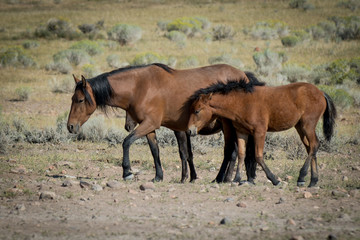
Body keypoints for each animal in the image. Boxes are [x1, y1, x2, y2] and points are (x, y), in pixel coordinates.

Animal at [67, 62, 256, 183]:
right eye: (72, 99)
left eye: (80, 100)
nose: (70, 126)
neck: (140, 87)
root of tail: (243, 76)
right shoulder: (149, 127)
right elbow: (155, 150)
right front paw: (158, 176)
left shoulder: (150, 124)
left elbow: (126, 142)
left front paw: (127, 172)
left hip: (228, 125)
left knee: (230, 151)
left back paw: (222, 179)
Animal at [188, 76, 338, 187]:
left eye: (197, 110)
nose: (190, 131)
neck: (242, 102)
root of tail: (320, 92)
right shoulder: (241, 132)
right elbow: (241, 154)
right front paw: (237, 179)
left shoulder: (259, 132)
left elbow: (258, 156)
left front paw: (274, 179)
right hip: (300, 127)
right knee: (310, 148)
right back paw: (312, 181)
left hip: (308, 125)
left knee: (314, 145)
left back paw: (302, 176)